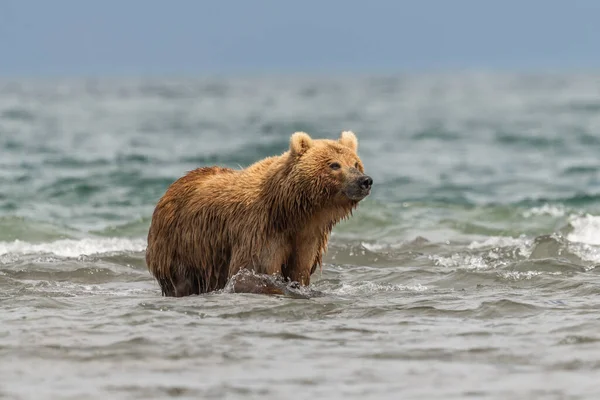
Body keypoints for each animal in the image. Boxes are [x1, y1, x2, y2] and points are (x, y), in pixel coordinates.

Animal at [145, 130, 370, 296]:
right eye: (334, 164)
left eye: (355, 163)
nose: (364, 180)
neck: (291, 211)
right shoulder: (259, 230)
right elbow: (253, 273)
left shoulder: (307, 238)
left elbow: (300, 272)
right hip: (180, 246)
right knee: (181, 281)